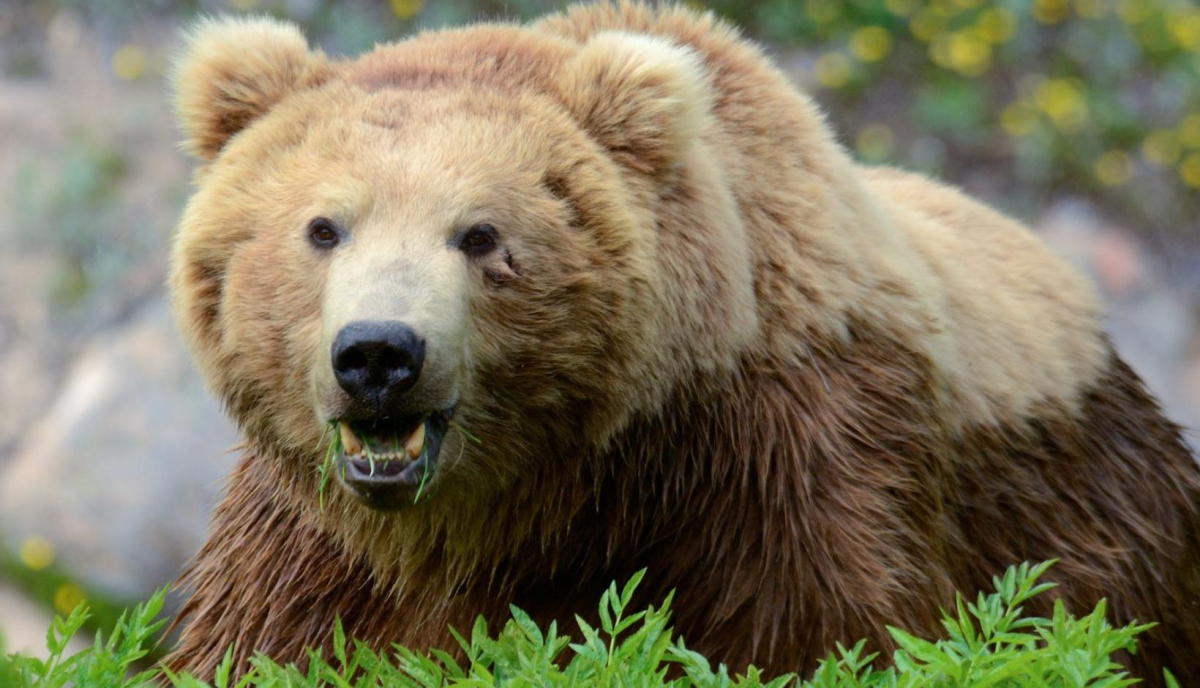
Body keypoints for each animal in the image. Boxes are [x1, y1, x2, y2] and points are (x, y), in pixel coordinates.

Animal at [166, 2, 1200, 684]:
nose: (379, 353)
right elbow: (259, 642)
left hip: (1102, 518)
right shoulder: (310, 542)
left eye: (482, 235)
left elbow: (824, 634)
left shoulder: (788, 472)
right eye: (323, 227)